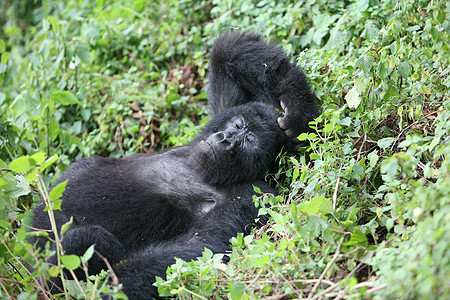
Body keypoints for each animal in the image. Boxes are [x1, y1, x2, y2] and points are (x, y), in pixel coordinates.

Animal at [29, 31, 320, 298]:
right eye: (237, 126)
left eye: (248, 141)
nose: (226, 140)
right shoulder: (227, 110)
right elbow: (228, 55)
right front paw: (297, 106)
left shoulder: (252, 195)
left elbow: (197, 249)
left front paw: (115, 289)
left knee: (87, 241)